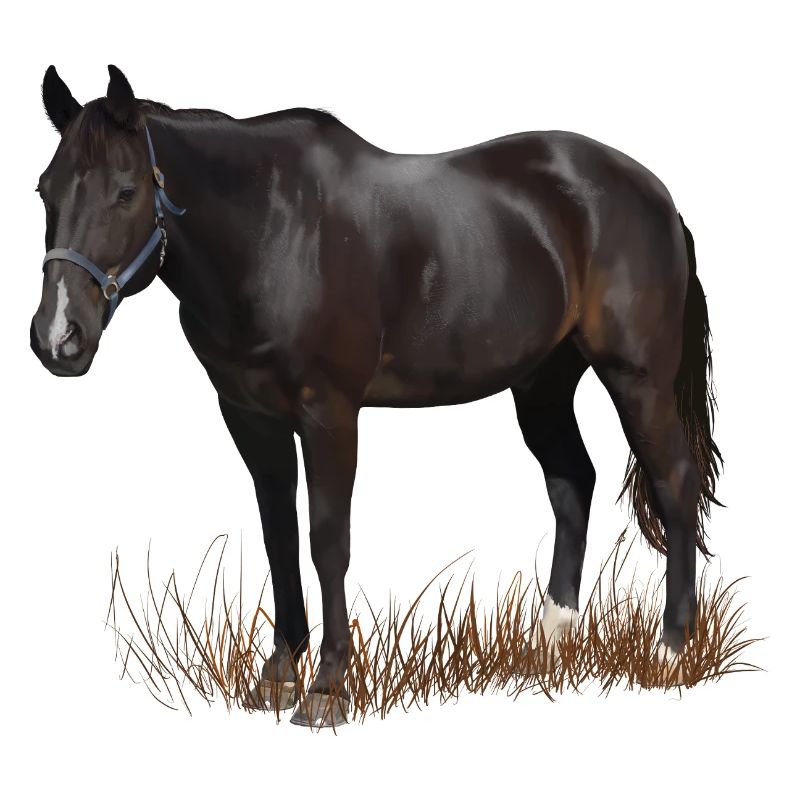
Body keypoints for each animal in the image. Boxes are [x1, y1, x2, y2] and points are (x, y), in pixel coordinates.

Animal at [30, 65, 721, 727]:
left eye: (125, 192)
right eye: (45, 190)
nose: (58, 336)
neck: (273, 229)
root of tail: (657, 196)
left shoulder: (330, 415)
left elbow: (327, 540)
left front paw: (328, 687)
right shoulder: (251, 418)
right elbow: (279, 537)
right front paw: (279, 673)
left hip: (636, 377)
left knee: (674, 481)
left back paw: (671, 648)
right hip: (543, 383)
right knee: (572, 481)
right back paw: (551, 643)